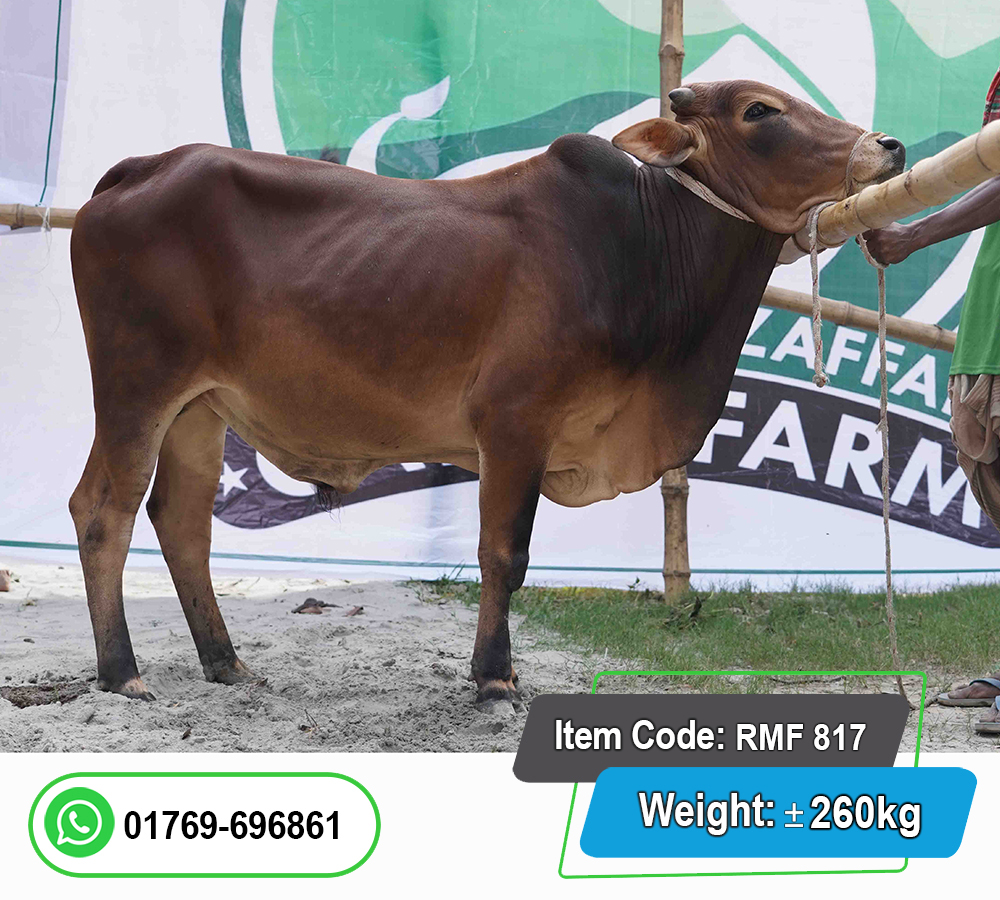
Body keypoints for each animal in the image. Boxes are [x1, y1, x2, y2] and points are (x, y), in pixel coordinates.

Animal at [68, 80, 905, 705]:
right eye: (760, 111)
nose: (889, 145)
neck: (643, 247)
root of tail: (139, 169)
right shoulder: (514, 424)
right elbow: (505, 553)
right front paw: (495, 678)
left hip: (199, 410)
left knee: (182, 522)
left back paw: (226, 662)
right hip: (138, 385)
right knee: (104, 509)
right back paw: (122, 672)